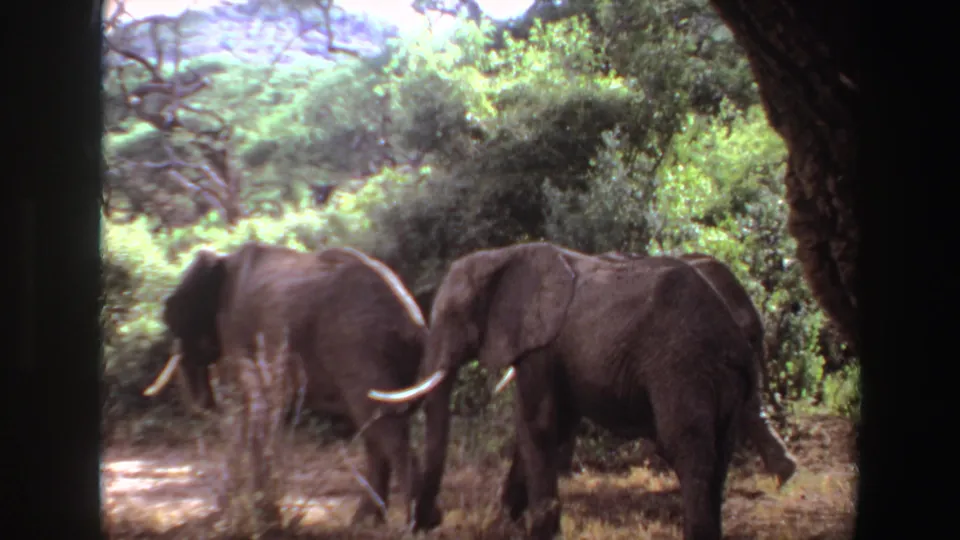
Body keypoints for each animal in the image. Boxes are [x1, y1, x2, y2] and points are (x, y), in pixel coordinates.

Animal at [142, 241, 428, 526]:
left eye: (174, 318)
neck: (224, 259)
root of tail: (412, 319)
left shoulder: (235, 329)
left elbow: (244, 409)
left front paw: (247, 516)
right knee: (374, 426)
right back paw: (366, 521)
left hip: (361, 349)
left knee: (383, 426)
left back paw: (411, 524)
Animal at [368, 242, 766, 540]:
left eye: (453, 314)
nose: (426, 523)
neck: (502, 256)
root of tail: (734, 338)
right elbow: (550, 426)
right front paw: (506, 523)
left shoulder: (540, 344)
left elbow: (539, 423)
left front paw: (536, 531)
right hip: (723, 379)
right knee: (720, 450)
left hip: (681, 366)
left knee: (686, 446)